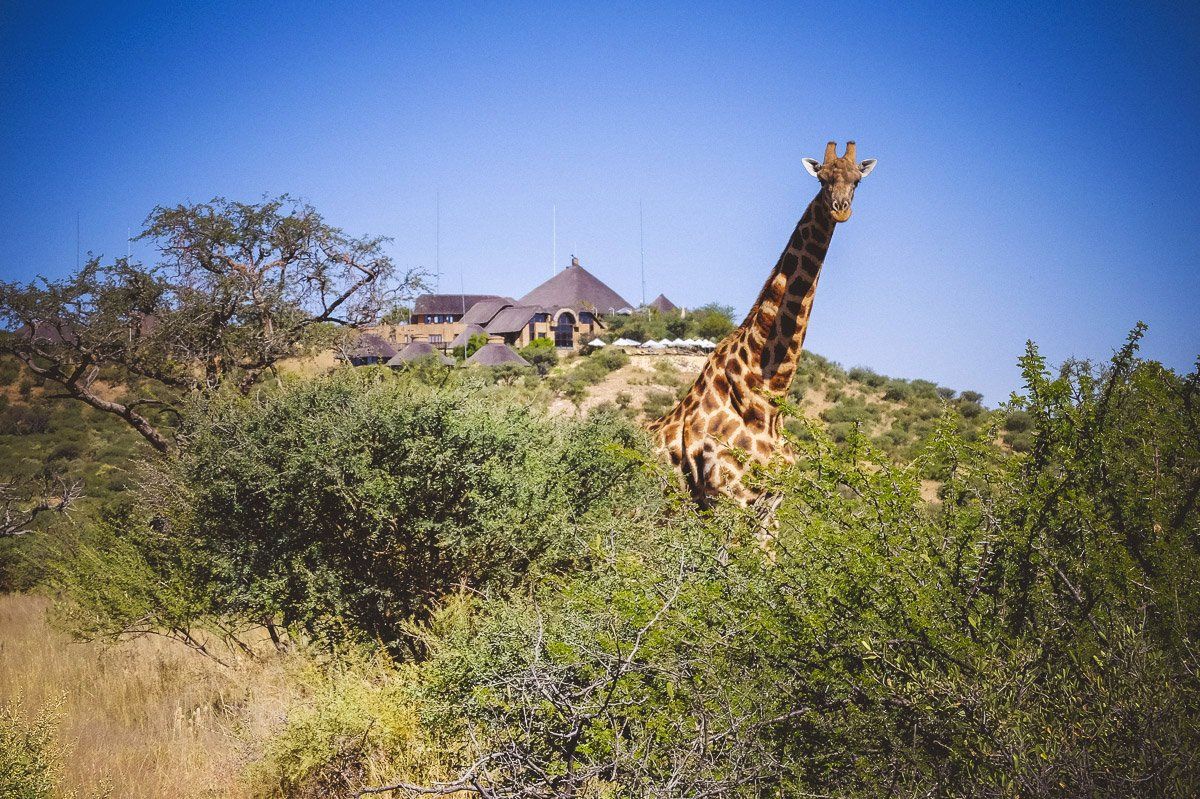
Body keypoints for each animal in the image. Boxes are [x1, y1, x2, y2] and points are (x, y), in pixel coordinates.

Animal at [648, 140, 876, 512]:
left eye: (857, 180)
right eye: (822, 180)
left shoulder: (771, 503)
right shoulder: (726, 496)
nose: (841, 210)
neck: (768, 398)